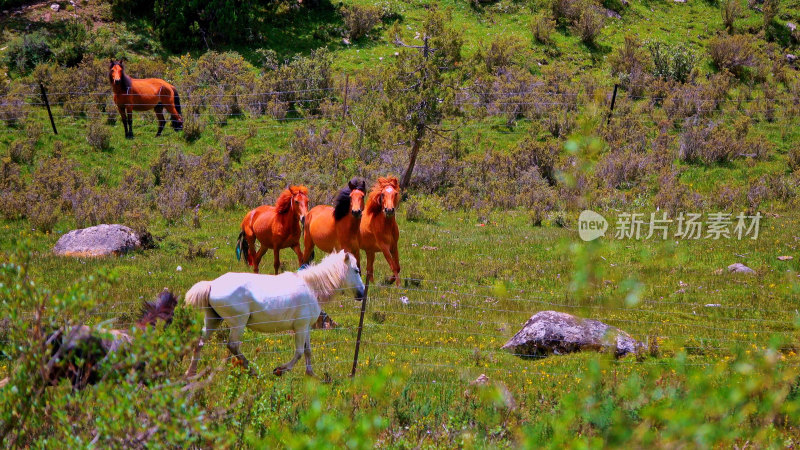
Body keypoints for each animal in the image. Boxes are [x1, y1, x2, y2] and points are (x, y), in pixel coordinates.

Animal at [183, 251, 364, 378]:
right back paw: (253, 371)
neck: (311, 287)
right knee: (233, 345)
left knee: (200, 343)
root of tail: (212, 284)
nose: (362, 294)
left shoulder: (305, 327)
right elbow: (299, 352)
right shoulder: (300, 327)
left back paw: (190, 374)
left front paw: (312, 375)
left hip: (213, 320)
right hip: (238, 324)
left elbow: (308, 351)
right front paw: (280, 370)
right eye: (356, 270)